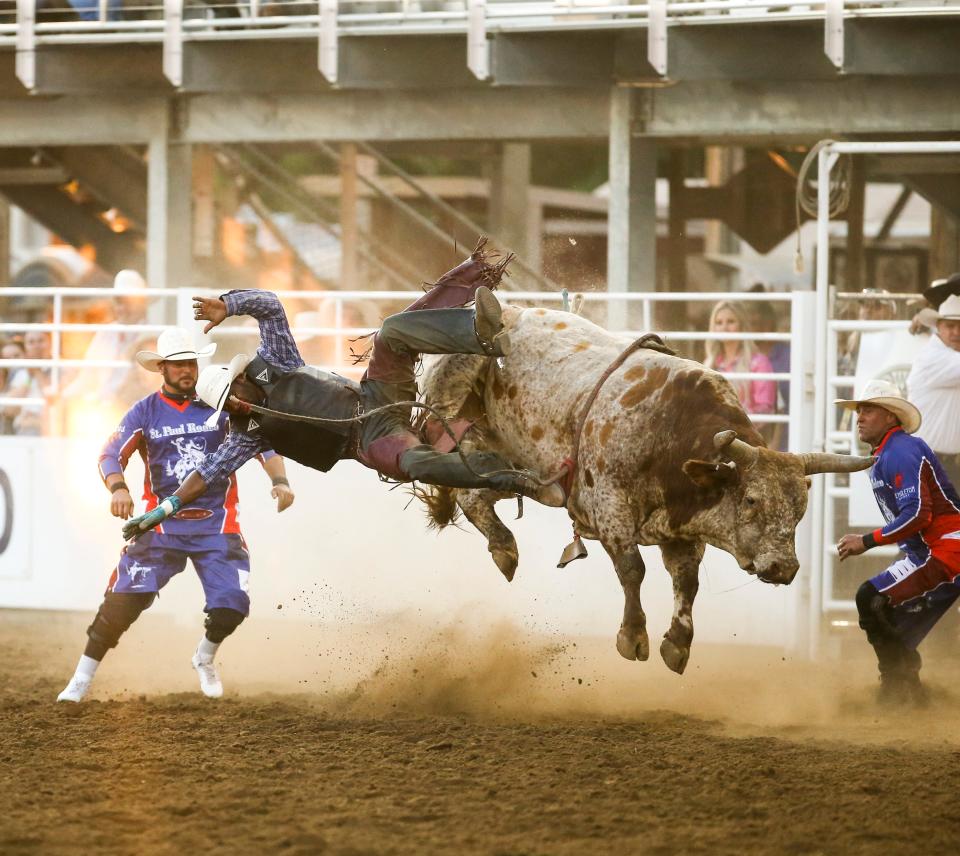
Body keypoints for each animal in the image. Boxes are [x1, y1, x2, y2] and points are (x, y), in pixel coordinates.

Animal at [416, 304, 872, 672]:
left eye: (800, 510)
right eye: (751, 499)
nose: (784, 568)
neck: (667, 431)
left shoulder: (682, 531)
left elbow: (687, 582)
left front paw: (678, 643)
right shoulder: (611, 509)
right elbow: (633, 568)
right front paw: (633, 636)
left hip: (520, 471)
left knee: (474, 495)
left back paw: (504, 548)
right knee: (465, 486)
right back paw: (503, 546)